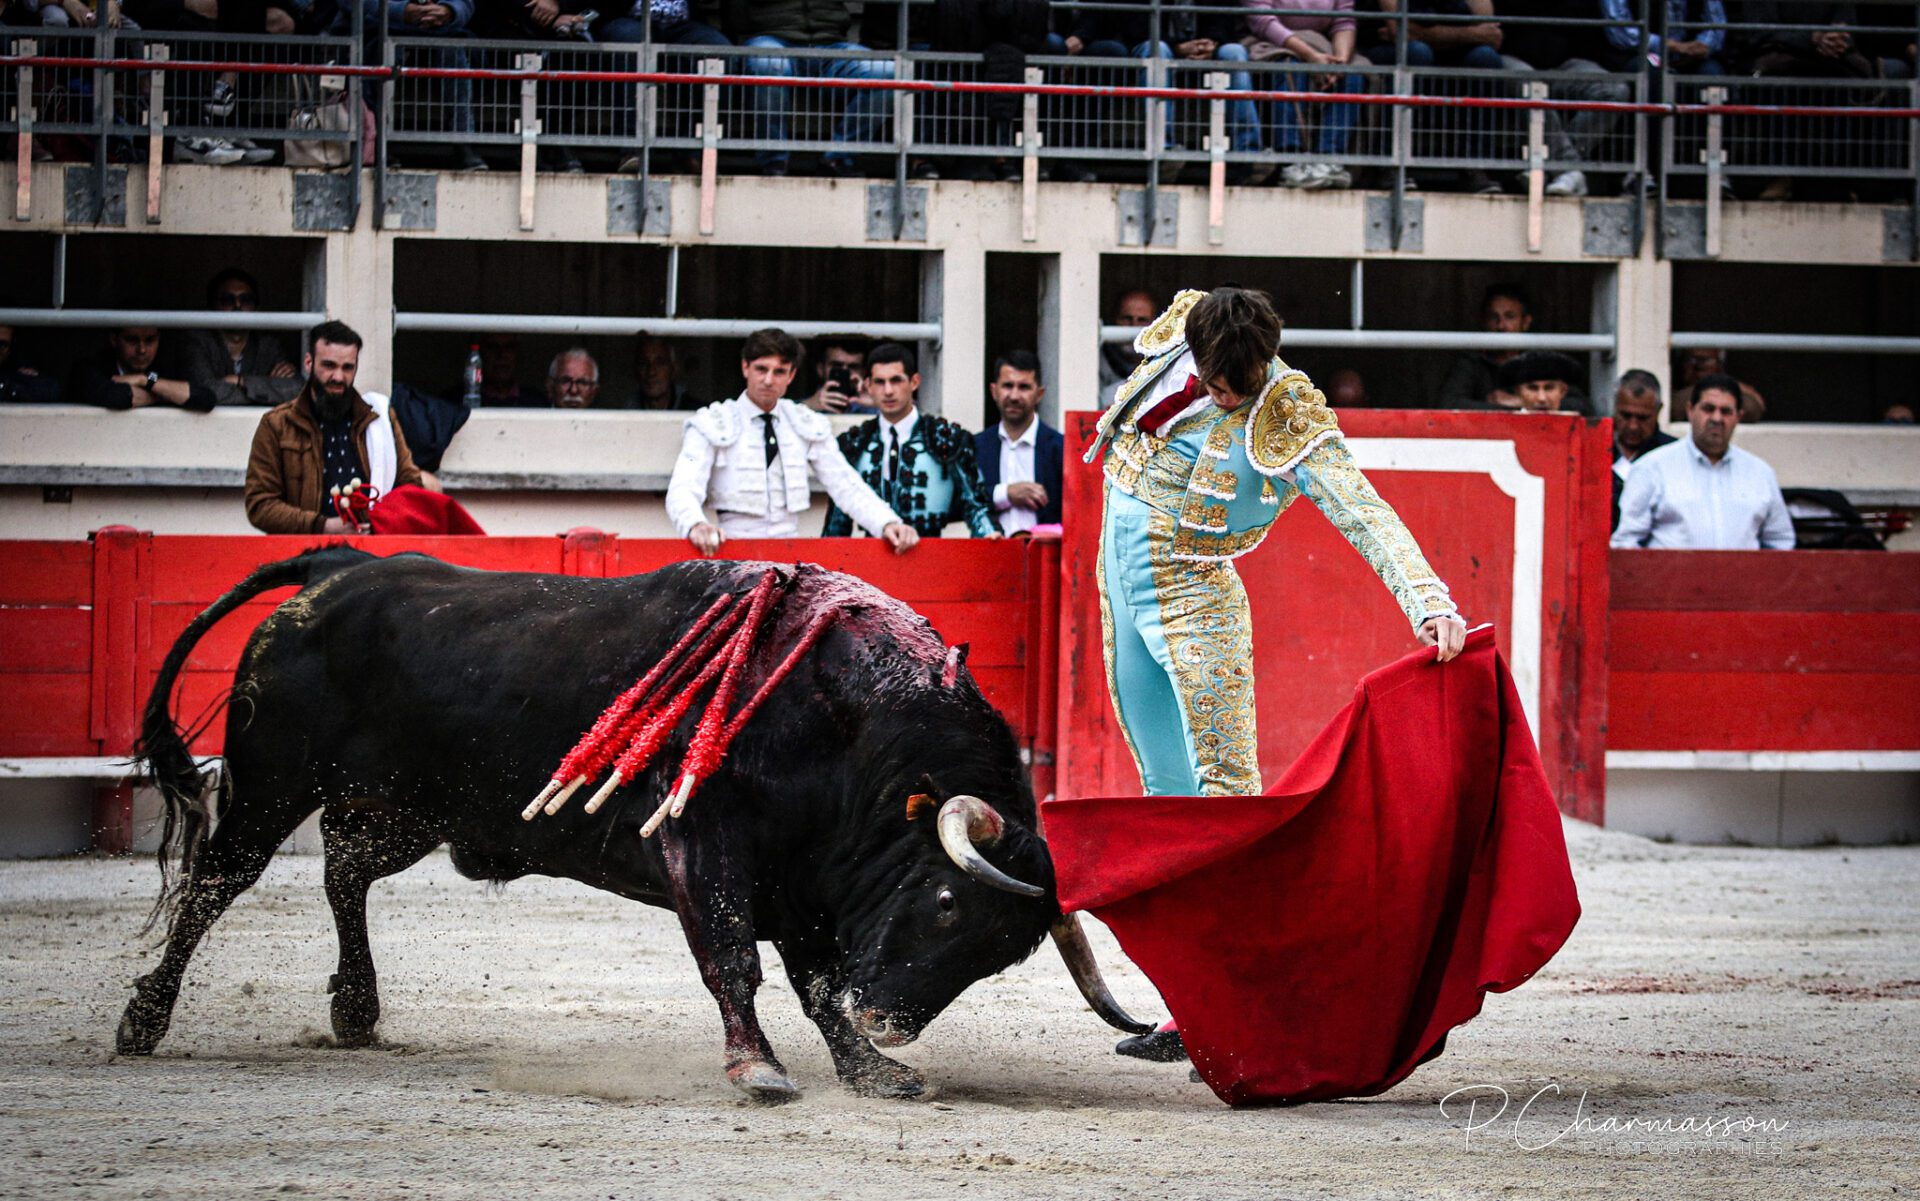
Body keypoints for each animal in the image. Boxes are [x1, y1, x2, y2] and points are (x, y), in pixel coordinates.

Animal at [117, 547, 1147, 1101]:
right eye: (944, 904)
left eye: (1000, 956)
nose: (889, 1020)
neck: (852, 723)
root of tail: (343, 568)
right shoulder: (703, 844)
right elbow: (734, 961)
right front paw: (759, 1069)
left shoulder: (812, 886)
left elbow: (816, 984)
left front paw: (870, 1069)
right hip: (272, 788)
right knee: (215, 884)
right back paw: (143, 1020)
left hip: (407, 807)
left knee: (343, 870)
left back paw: (357, 1010)